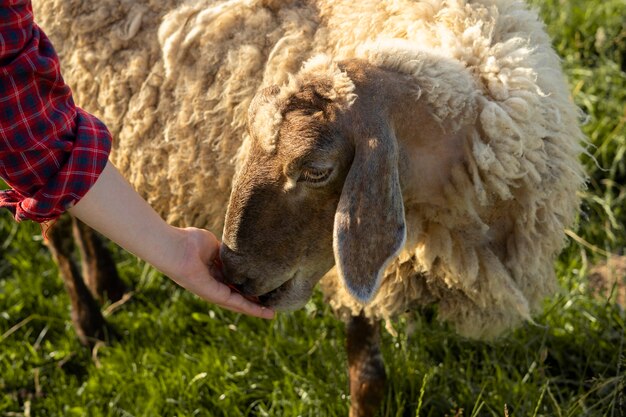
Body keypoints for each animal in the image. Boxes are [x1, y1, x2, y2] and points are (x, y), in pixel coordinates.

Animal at [29, 0, 584, 416]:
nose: (232, 273)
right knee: (55, 215)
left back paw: (108, 282)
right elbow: (369, 379)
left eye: (316, 169)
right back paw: (90, 322)